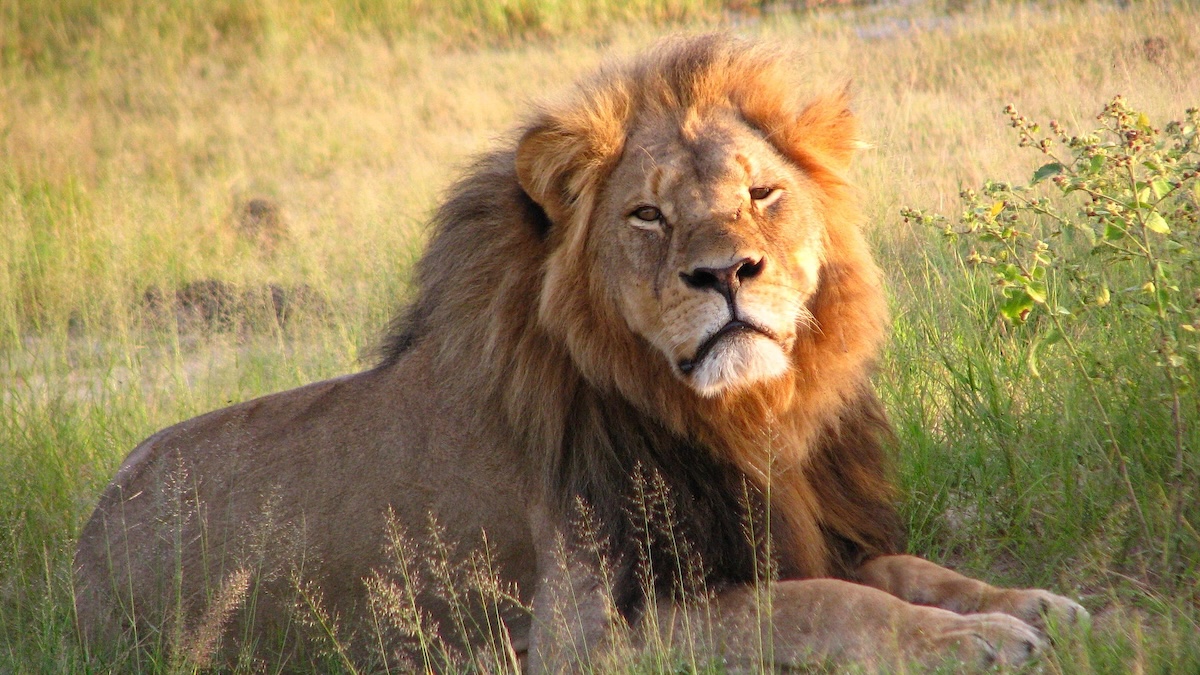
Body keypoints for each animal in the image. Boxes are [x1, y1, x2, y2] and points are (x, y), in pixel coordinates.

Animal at [74, 34, 1086, 671]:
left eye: (761, 193)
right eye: (648, 214)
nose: (727, 272)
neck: (744, 420)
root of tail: (82, 541)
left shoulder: (785, 527)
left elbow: (906, 571)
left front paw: (1032, 603)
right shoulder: (584, 634)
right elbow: (827, 602)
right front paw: (971, 641)